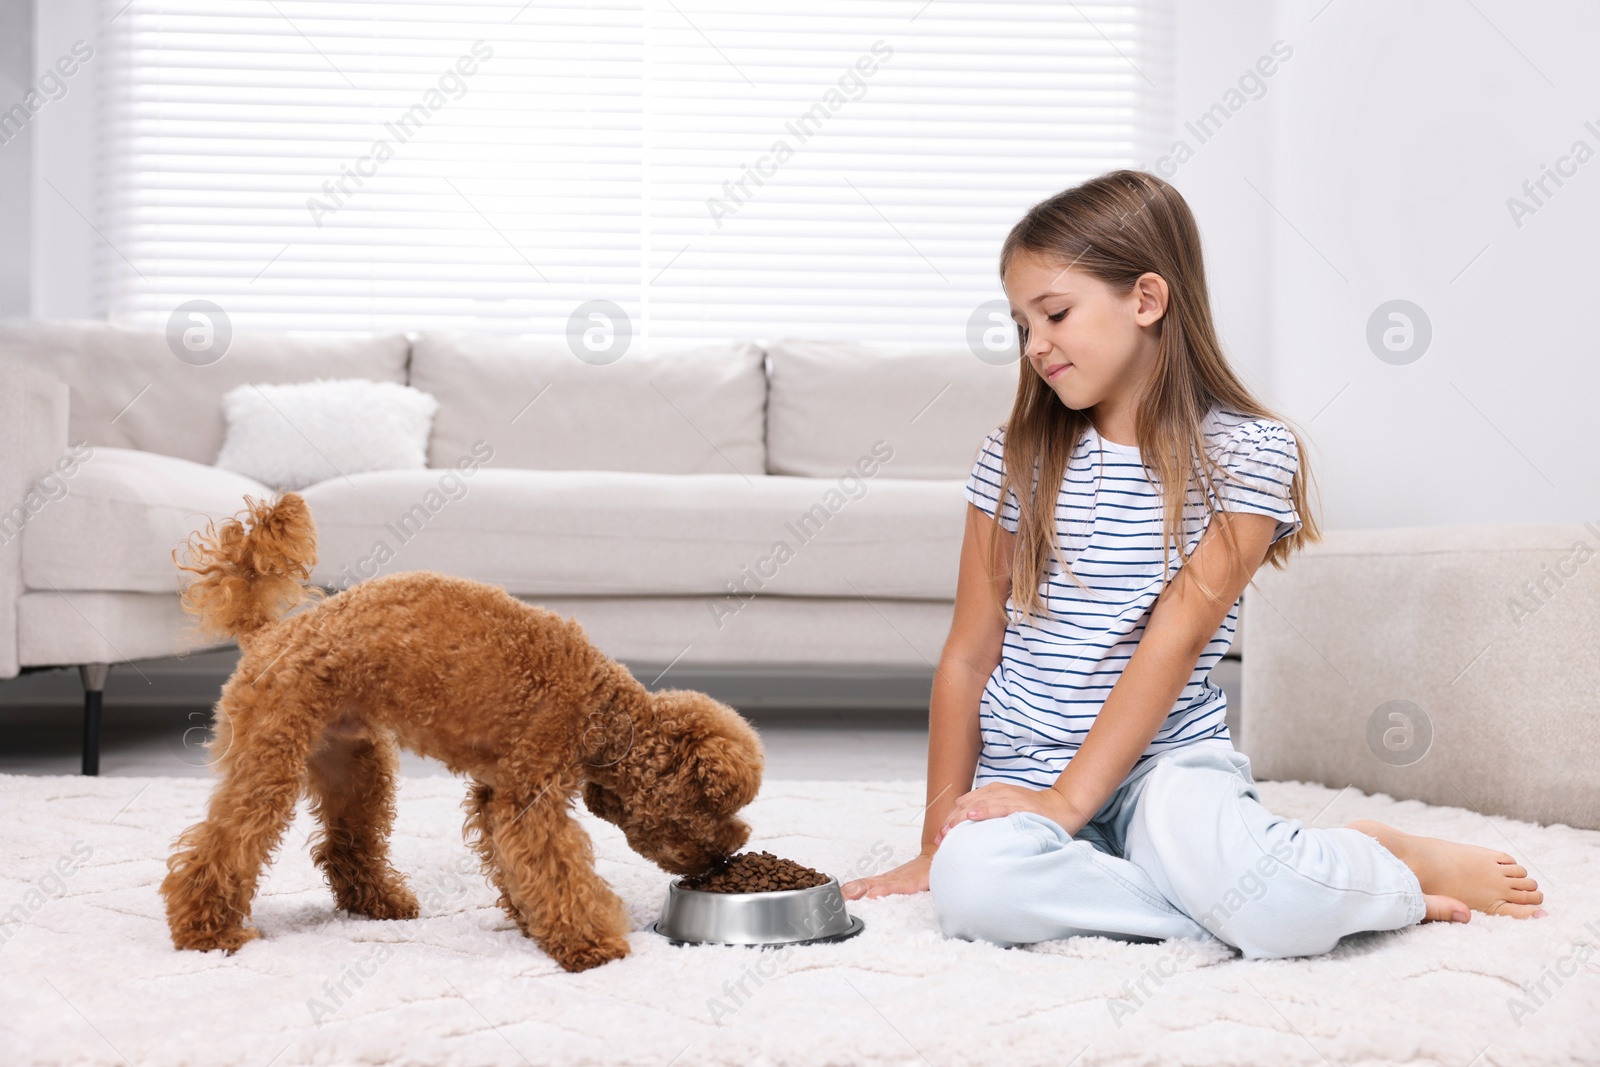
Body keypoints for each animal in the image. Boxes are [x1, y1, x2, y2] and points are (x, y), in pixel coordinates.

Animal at [162, 495, 761, 972]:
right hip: (271, 755)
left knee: (345, 845)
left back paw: (378, 903)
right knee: (223, 842)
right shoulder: (529, 793)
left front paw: (530, 922)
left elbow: (515, 863)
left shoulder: (495, 792)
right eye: (711, 806)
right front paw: (592, 945)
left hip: (354, 764)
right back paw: (206, 931)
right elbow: (559, 869)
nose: (725, 856)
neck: (599, 710)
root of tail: (268, 635)